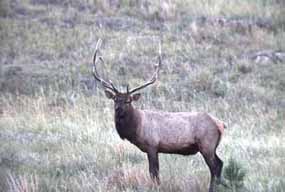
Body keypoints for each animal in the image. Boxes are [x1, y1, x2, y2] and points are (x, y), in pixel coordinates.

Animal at [92, 39, 225, 192]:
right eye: (115, 99)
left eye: (128, 100)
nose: (118, 109)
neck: (137, 127)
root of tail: (221, 124)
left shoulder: (152, 145)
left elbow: (154, 173)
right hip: (211, 147)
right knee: (220, 164)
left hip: (207, 144)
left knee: (215, 167)